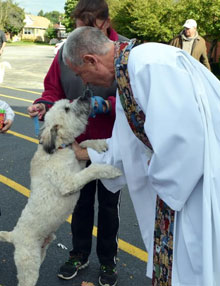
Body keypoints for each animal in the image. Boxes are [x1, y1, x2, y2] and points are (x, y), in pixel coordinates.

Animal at [0, 95, 121, 286]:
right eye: (67, 108)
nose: (86, 94)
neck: (58, 148)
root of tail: (13, 235)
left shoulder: (78, 163)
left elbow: (84, 143)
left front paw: (100, 143)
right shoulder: (69, 182)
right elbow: (93, 169)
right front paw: (110, 169)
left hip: (41, 253)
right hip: (29, 265)